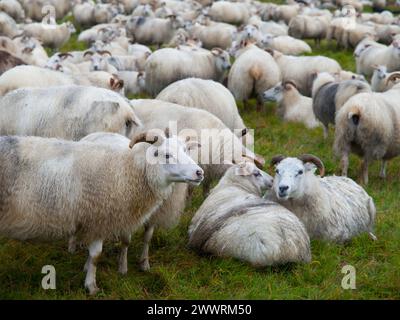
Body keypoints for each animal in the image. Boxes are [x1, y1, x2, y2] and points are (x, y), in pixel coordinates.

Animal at [0, 129, 205, 292]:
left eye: (186, 151)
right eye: (166, 155)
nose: (199, 173)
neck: (127, 170)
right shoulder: (100, 217)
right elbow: (96, 255)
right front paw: (91, 286)